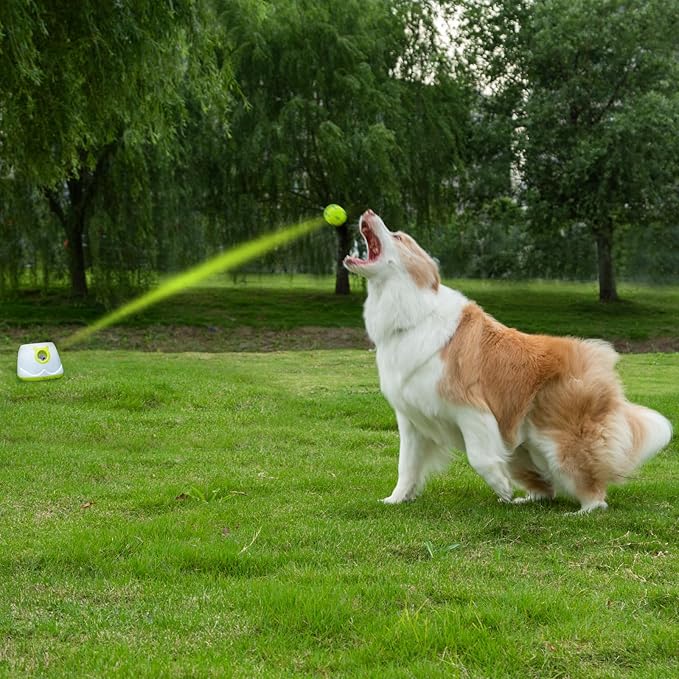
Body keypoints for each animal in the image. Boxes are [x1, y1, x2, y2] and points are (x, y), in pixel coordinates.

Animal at [346, 210, 676, 512]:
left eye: (398, 236)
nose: (368, 212)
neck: (412, 313)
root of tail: (599, 358)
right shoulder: (412, 419)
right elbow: (407, 465)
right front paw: (396, 499)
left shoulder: (470, 408)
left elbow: (479, 457)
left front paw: (501, 487)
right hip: (521, 447)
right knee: (547, 488)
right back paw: (526, 500)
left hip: (559, 441)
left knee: (593, 489)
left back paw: (581, 511)